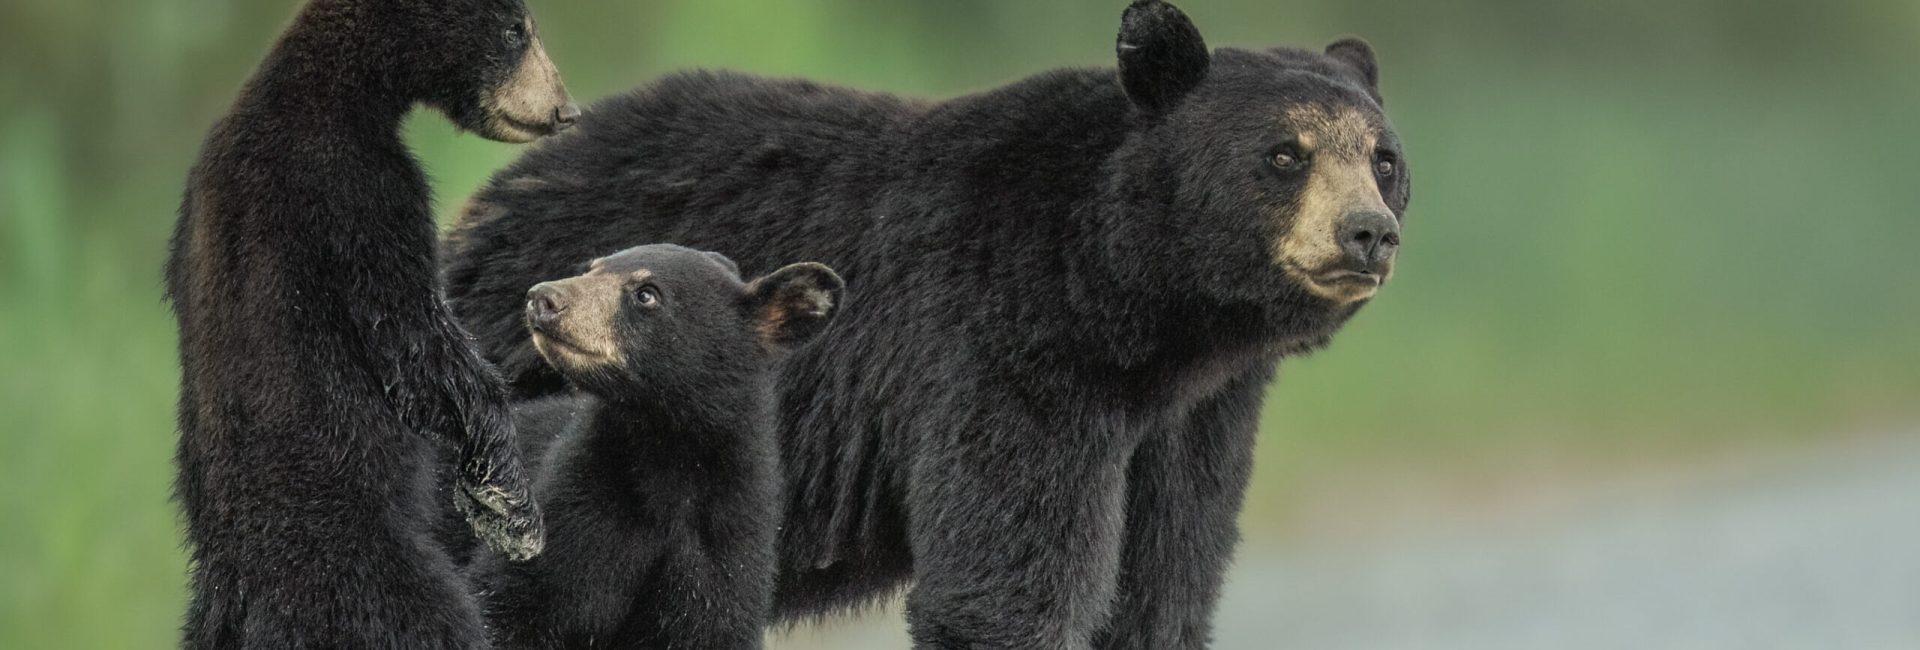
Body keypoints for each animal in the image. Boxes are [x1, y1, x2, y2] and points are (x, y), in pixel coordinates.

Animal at [163, 0, 577, 646]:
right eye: (516, 31)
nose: (565, 109)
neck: (337, 90)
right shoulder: (357, 188)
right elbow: (416, 342)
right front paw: (510, 506)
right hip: (359, 567)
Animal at [463, 244, 843, 649]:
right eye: (590, 268)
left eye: (647, 294)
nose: (542, 298)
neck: (665, 455)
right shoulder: (570, 507)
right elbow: (511, 599)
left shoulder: (723, 550)